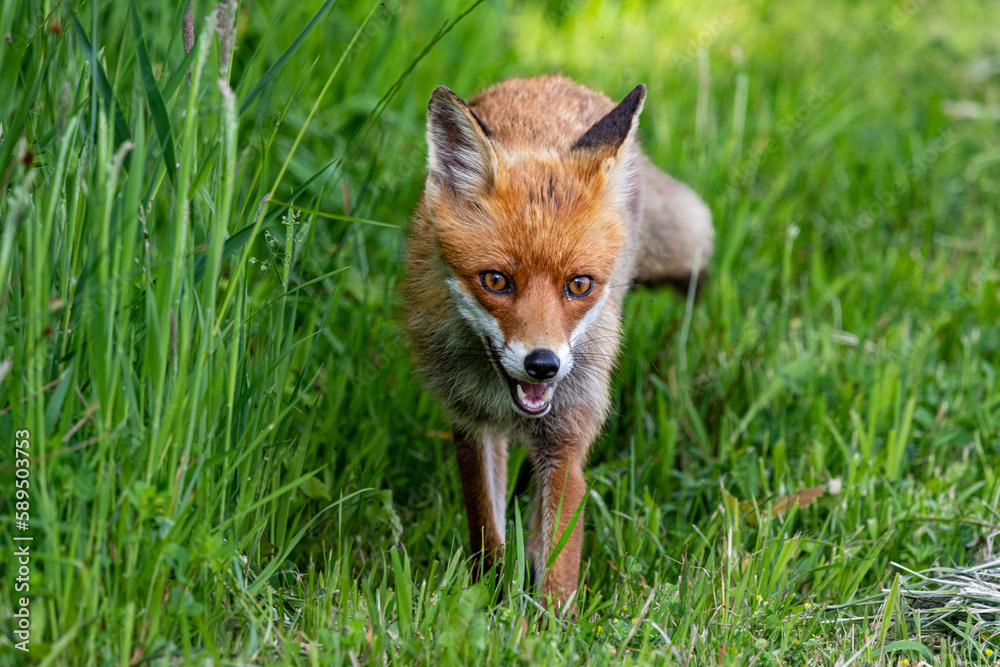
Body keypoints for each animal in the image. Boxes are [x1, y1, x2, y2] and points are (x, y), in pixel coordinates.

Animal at [402, 75, 716, 608]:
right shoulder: (469, 423)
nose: (543, 365)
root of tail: (554, 80)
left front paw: (544, 621)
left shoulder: (566, 437)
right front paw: (490, 596)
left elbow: (557, 569)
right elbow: (485, 530)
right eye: (496, 281)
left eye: (579, 285)